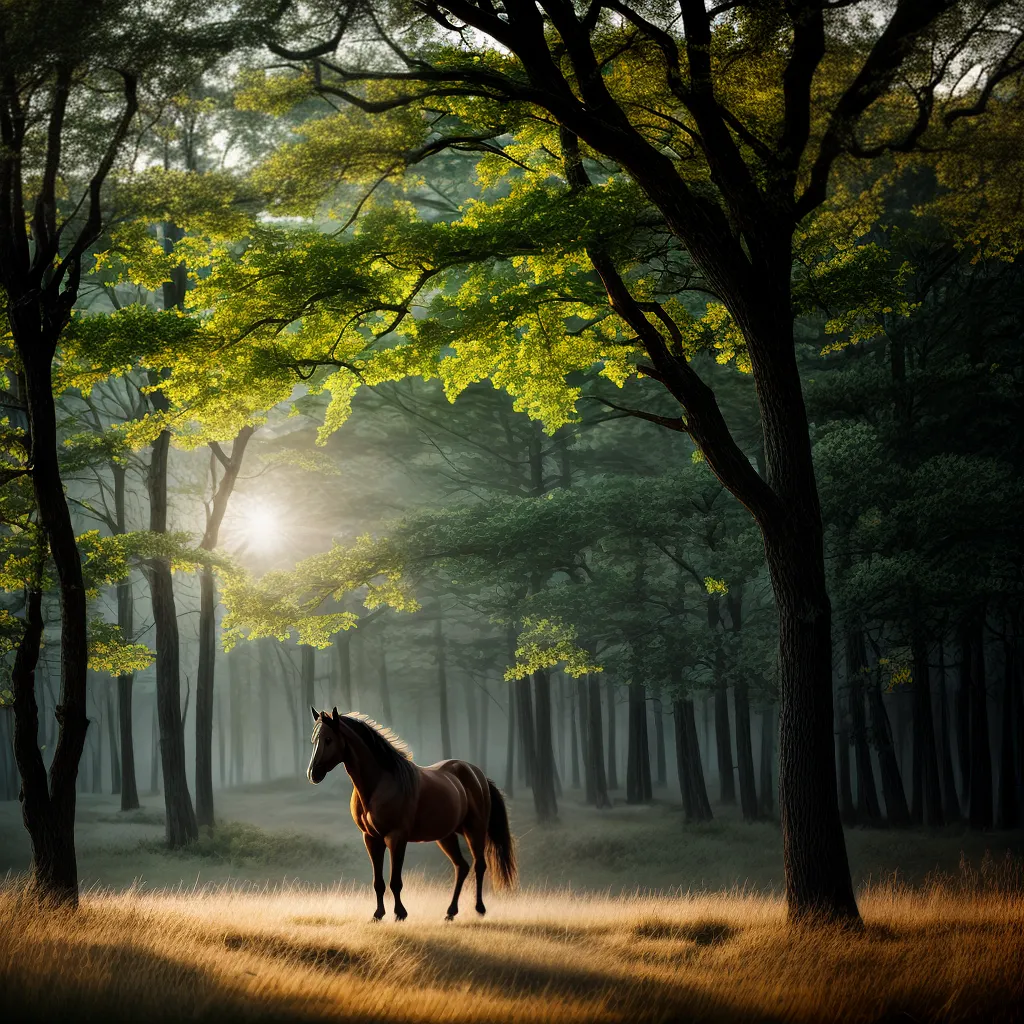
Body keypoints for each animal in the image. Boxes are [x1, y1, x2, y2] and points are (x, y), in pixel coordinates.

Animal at [307, 706, 517, 921]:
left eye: (329, 739)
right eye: (314, 740)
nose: (313, 774)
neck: (380, 783)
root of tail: (477, 774)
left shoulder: (396, 838)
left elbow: (395, 881)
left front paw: (400, 913)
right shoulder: (371, 838)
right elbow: (378, 882)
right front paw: (378, 914)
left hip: (475, 830)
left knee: (479, 866)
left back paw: (479, 909)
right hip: (447, 836)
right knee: (462, 867)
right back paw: (450, 912)